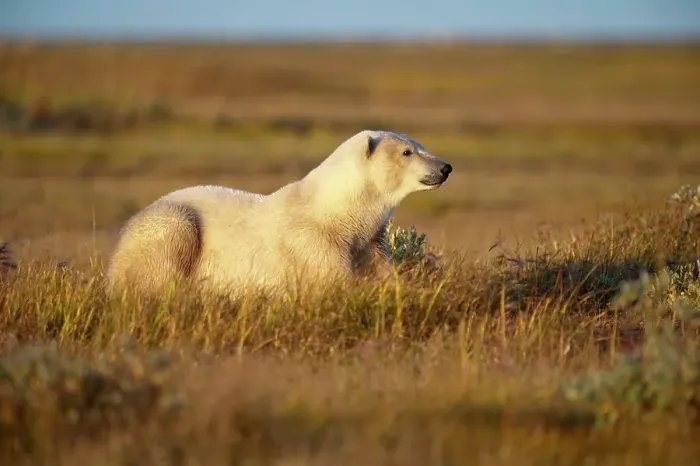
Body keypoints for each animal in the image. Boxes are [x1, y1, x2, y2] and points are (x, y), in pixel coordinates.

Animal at [104, 130, 453, 300]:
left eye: (420, 144)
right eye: (407, 152)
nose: (445, 167)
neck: (339, 213)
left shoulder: (369, 243)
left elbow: (388, 275)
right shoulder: (311, 241)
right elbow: (335, 284)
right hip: (168, 221)